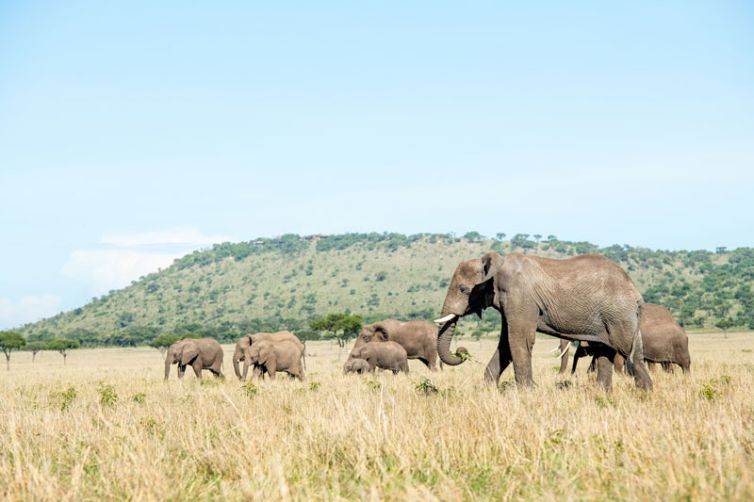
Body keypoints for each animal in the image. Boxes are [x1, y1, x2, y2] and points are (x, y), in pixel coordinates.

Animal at [435, 252, 652, 390]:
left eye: (463, 289)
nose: (461, 352)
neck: (497, 264)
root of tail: (635, 291)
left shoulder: (520, 297)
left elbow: (518, 340)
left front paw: (527, 391)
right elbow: (506, 344)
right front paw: (489, 390)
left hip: (619, 314)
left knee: (629, 352)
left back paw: (645, 392)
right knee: (605, 352)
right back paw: (602, 393)